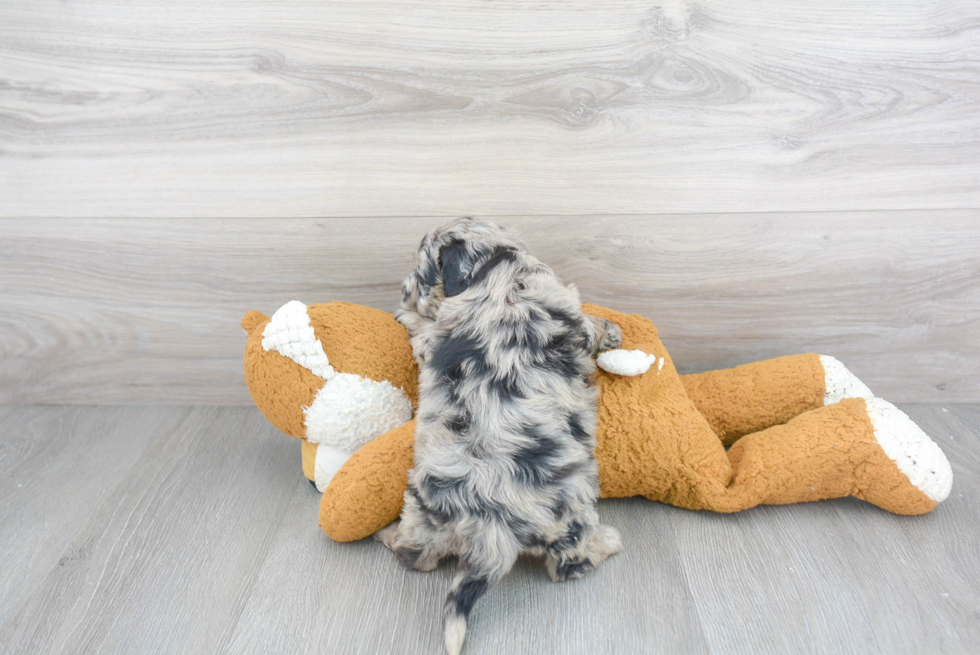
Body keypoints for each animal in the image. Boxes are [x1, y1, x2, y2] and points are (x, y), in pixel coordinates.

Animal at [378, 219, 624, 655]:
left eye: (420, 273)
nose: (403, 289)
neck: (495, 267)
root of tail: (490, 524)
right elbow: (589, 323)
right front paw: (609, 330)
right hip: (571, 515)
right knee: (569, 565)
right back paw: (606, 542)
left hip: (424, 510)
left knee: (416, 554)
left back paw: (390, 537)